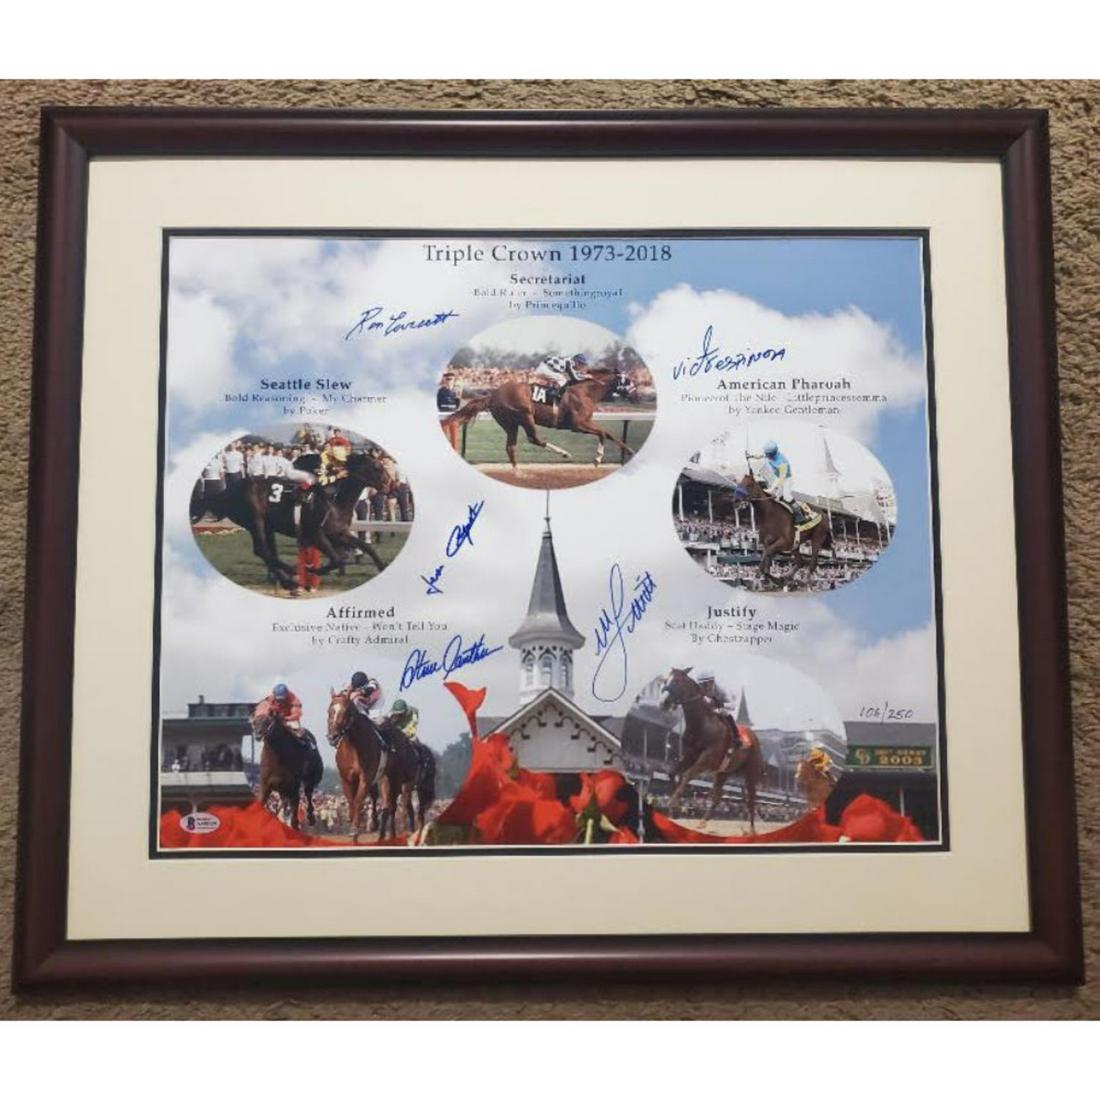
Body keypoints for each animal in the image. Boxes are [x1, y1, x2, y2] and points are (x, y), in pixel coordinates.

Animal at [192, 449, 394, 593]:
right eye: (377, 467)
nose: (390, 485)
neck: (335, 500)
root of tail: (227, 491)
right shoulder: (315, 534)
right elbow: (337, 559)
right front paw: (311, 571)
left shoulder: (339, 533)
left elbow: (366, 548)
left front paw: (382, 567)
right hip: (255, 520)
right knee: (262, 550)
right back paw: (289, 576)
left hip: (267, 525)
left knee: (268, 552)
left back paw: (285, 577)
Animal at [326, 691, 421, 841]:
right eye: (329, 711)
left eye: (346, 712)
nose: (332, 736)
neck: (353, 747)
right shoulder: (347, 779)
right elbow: (351, 801)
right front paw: (353, 822)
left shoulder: (366, 777)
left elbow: (358, 800)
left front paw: (354, 829)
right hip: (385, 779)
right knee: (385, 804)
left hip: (399, 780)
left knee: (396, 805)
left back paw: (398, 832)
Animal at [441, 367, 638, 470]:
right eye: (628, 380)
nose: (635, 395)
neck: (586, 392)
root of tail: (493, 395)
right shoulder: (577, 424)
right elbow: (603, 433)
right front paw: (598, 459)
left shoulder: (586, 422)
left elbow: (608, 433)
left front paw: (628, 451)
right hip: (524, 415)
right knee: (534, 439)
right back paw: (564, 453)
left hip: (510, 423)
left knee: (511, 447)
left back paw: (518, 473)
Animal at [659, 667, 766, 833]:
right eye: (665, 680)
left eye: (678, 680)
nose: (664, 702)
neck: (703, 724)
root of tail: (753, 736)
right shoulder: (690, 755)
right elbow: (672, 773)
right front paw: (676, 808)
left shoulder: (708, 758)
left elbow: (688, 775)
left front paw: (673, 804)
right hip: (723, 772)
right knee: (718, 797)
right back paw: (702, 822)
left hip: (751, 773)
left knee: (751, 800)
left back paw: (752, 830)